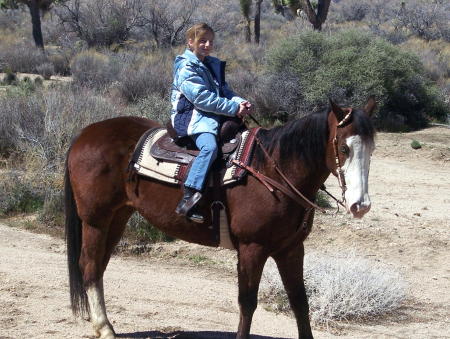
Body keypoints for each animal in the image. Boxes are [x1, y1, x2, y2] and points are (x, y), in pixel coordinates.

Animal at [64, 97, 376, 338]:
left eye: (372, 148)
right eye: (344, 148)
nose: (360, 205)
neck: (273, 171)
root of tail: (84, 134)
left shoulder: (291, 249)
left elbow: (300, 301)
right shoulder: (252, 248)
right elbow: (247, 303)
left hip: (118, 217)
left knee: (98, 267)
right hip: (95, 220)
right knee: (89, 265)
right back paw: (105, 328)